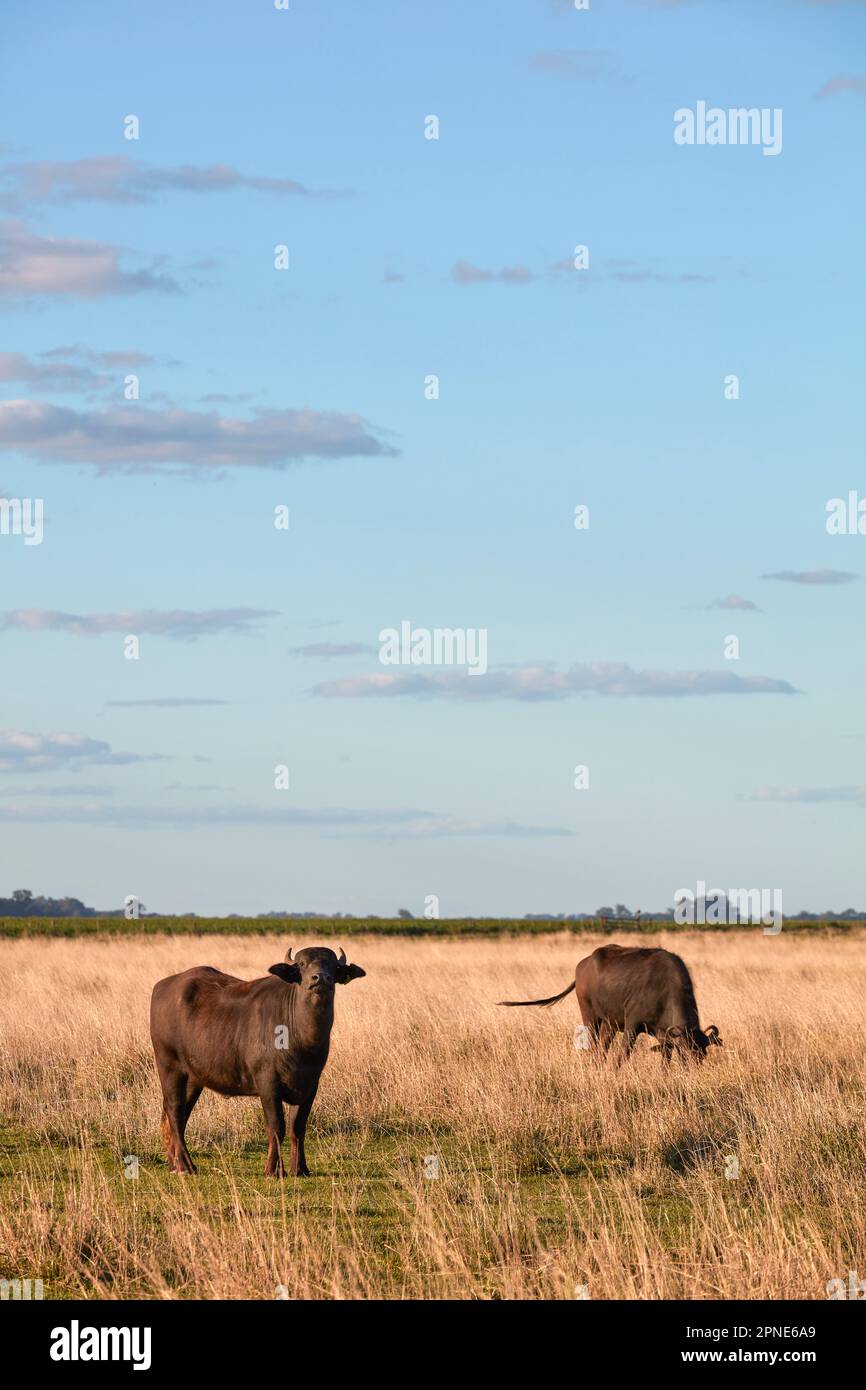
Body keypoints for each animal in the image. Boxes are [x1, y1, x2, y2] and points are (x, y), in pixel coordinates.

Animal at [148, 945, 366, 1173]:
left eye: (333, 966)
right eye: (302, 964)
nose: (320, 978)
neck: (301, 1038)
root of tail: (162, 986)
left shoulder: (310, 1085)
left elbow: (297, 1127)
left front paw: (300, 1169)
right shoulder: (267, 1082)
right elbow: (277, 1126)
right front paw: (274, 1169)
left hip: (193, 1078)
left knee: (173, 1118)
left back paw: (174, 1163)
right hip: (169, 1067)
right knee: (174, 1112)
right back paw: (185, 1165)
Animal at [497, 945, 722, 1061]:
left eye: (702, 1055)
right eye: (685, 1053)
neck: (665, 988)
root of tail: (583, 965)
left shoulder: (664, 1033)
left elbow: (665, 1060)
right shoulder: (632, 1026)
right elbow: (623, 1055)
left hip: (609, 1024)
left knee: (603, 1047)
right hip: (590, 1017)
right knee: (594, 1045)